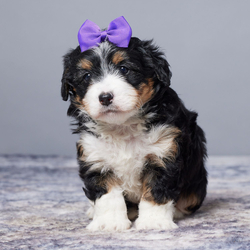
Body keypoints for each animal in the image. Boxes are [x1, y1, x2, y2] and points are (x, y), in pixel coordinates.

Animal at [60, 17, 207, 232]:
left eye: (124, 69)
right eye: (86, 76)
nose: (105, 97)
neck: (123, 126)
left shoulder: (163, 152)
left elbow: (156, 190)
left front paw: (154, 222)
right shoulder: (96, 157)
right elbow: (108, 196)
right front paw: (109, 223)